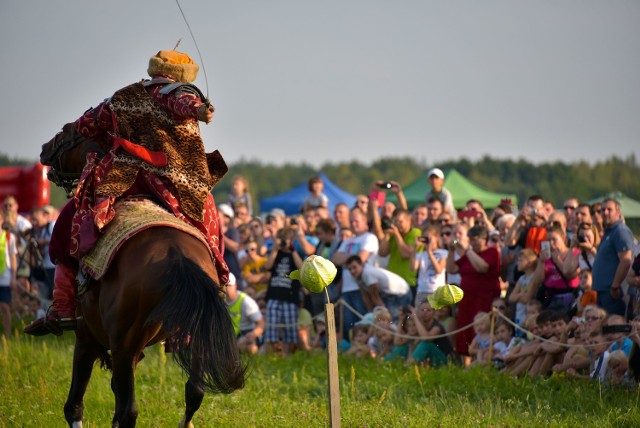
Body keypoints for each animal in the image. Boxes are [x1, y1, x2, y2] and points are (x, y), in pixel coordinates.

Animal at [40, 124, 244, 428]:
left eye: (66, 131)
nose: (45, 150)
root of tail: (176, 257)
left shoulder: (88, 338)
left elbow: (75, 405)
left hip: (123, 346)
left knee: (129, 411)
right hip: (191, 337)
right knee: (193, 392)